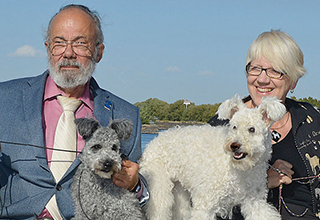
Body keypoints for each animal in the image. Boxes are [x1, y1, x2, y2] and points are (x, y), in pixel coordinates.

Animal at [139, 95, 284, 220]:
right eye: (234, 127)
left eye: (252, 129)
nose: (234, 146)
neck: (239, 169)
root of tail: (153, 141)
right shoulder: (206, 206)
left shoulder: (255, 202)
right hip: (159, 186)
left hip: (179, 190)